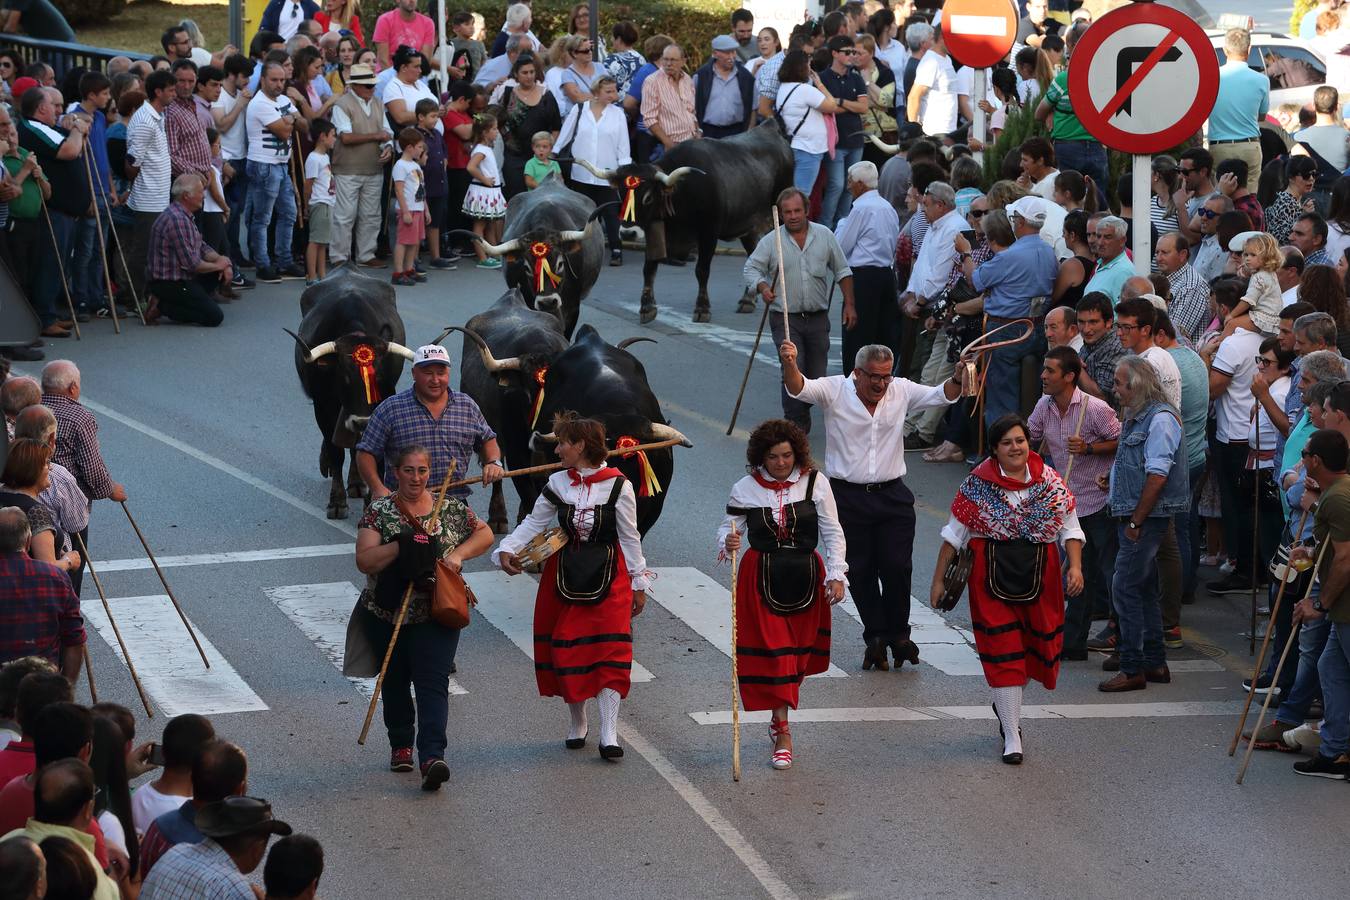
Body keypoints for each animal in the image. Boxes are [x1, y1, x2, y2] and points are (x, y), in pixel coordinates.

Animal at [291, 267, 418, 518]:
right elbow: (336, 450)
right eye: (345, 377)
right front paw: (337, 502)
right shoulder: (323, 404)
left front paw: (371, 497)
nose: (362, 421)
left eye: (379, 378)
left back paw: (358, 483)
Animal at [577, 122, 788, 327]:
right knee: (753, 256)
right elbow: (649, 268)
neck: (681, 193)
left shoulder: (708, 233)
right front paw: (647, 308)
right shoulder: (655, 231)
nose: (628, 233)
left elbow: (702, 270)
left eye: (648, 197)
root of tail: (769, 126)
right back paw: (747, 300)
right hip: (747, 228)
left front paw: (702, 309)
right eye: (621, 194)